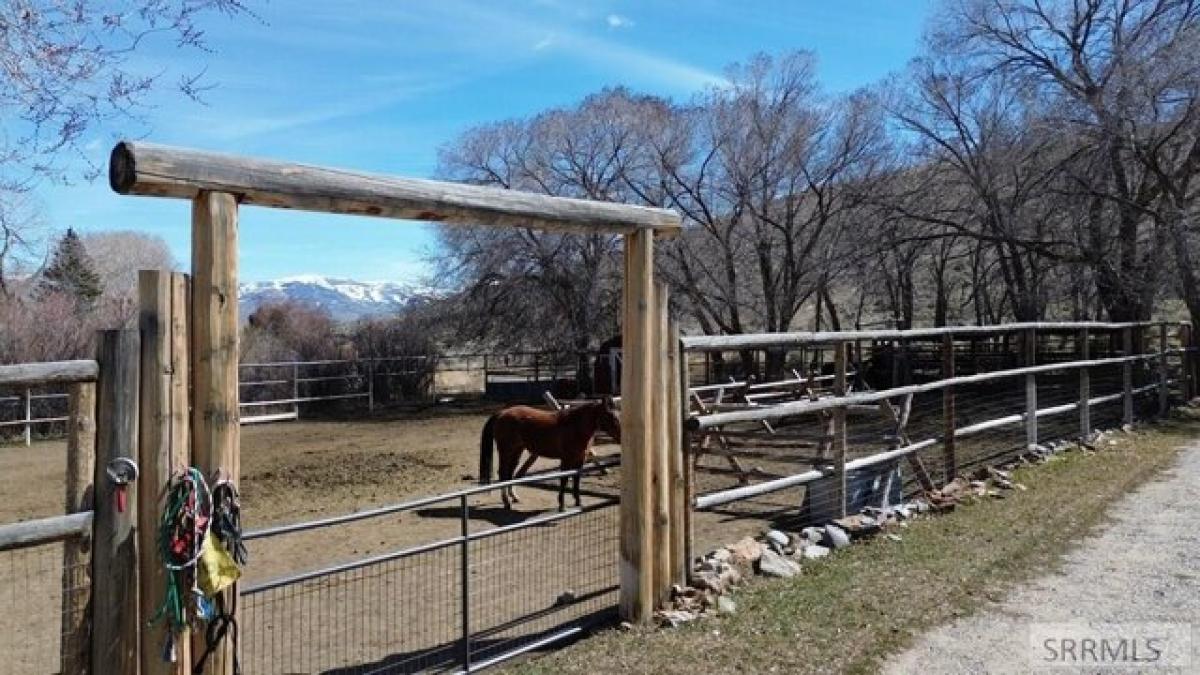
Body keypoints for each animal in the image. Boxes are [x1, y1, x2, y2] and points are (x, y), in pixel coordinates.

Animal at [480, 396, 624, 506]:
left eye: (618, 414)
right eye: (610, 416)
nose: (621, 437)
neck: (574, 426)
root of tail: (501, 413)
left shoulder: (580, 459)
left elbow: (576, 479)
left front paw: (578, 502)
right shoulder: (566, 459)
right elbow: (564, 479)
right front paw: (561, 504)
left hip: (517, 451)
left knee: (509, 473)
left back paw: (514, 497)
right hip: (506, 451)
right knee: (503, 473)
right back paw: (506, 502)